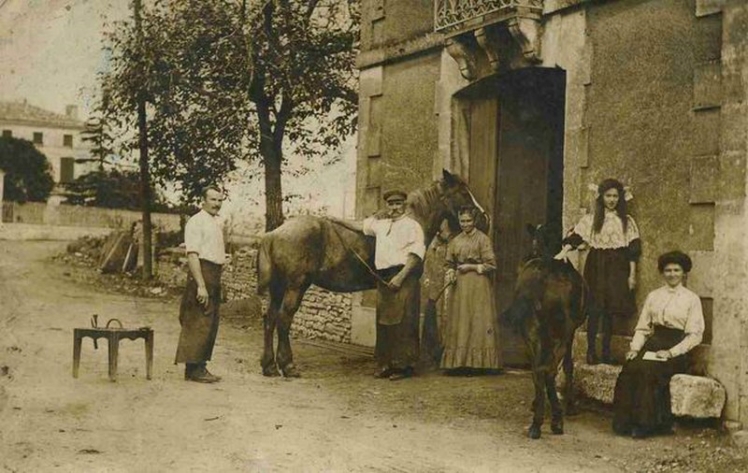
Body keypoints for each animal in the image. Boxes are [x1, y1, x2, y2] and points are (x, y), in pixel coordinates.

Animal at [258, 170, 488, 376]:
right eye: (464, 192)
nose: (484, 219)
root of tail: (272, 234)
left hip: (278, 287)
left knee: (269, 319)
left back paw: (269, 366)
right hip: (295, 287)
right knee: (283, 319)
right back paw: (287, 365)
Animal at [502, 223, 592, 436]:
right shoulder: (570, 332)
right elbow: (567, 365)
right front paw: (569, 406)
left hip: (532, 330)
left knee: (539, 368)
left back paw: (539, 421)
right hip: (559, 330)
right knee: (548, 368)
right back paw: (554, 419)